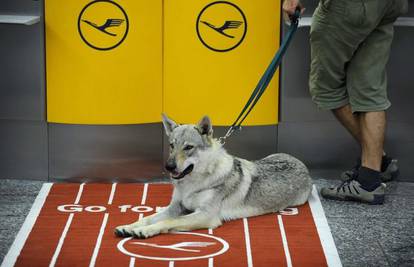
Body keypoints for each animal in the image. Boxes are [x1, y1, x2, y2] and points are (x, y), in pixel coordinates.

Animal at [115, 114, 312, 240]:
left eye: (188, 147)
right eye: (171, 145)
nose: (168, 166)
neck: (191, 185)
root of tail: (300, 162)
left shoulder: (206, 215)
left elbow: (169, 221)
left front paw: (146, 231)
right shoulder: (175, 207)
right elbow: (148, 218)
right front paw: (129, 227)